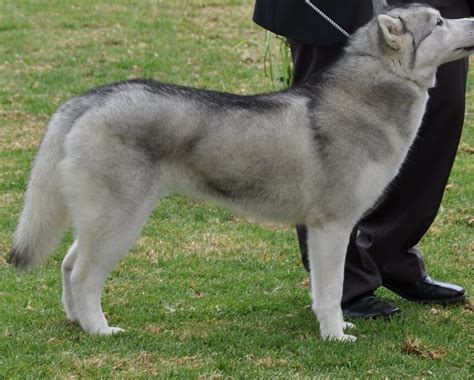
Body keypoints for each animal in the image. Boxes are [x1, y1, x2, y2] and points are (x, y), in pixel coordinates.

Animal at [7, 3, 474, 342]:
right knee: (84, 274)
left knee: (68, 264)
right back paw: (100, 329)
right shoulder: (333, 226)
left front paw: (335, 325)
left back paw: (76, 321)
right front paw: (335, 335)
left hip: (101, 218)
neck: (367, 96)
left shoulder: (325, 229)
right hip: (120, 220)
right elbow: (330, 290)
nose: (472, 18)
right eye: (438, 21)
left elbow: (321, 290)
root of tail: (88, 99)